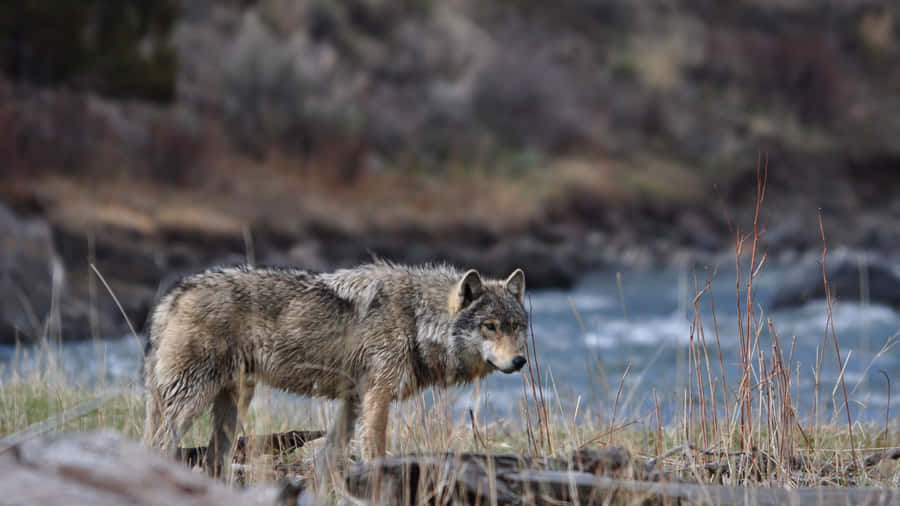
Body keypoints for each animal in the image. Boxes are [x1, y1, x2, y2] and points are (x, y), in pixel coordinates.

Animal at [142, 261, 529, 476]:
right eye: (490, 326)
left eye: (517, 327)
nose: (519, 361)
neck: (417, 319)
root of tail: (173, 296)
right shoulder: (377, 396)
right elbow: (374, 450)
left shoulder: (353, 401)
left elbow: (328, 457)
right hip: (192, 401)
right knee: (159, 445)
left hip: (232, 406)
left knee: (211, 460)